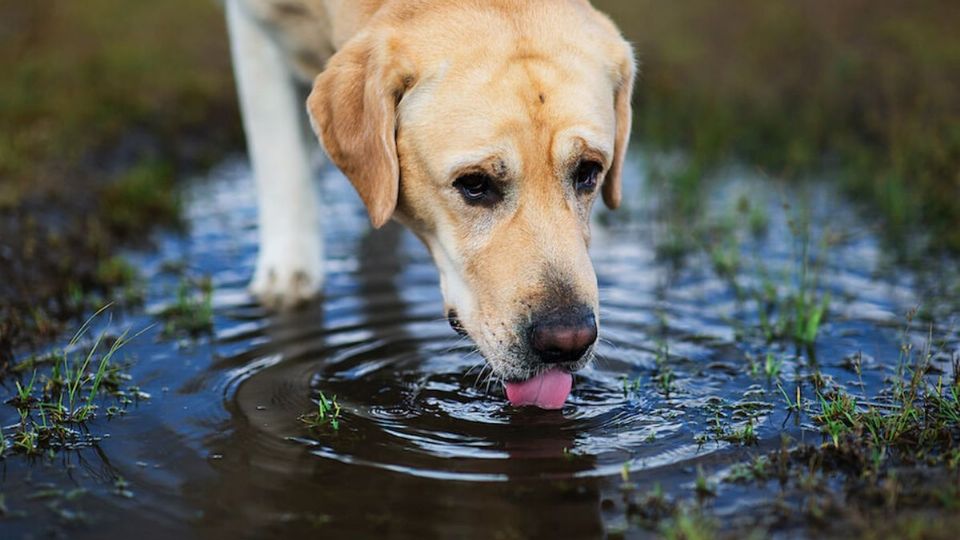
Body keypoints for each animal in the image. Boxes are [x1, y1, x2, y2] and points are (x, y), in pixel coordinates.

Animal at [227, 0, 636, 408]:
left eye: (588, 171)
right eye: (474, 184)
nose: (568, 341)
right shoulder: (252, 29)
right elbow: (281, 159)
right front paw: (288, 273)